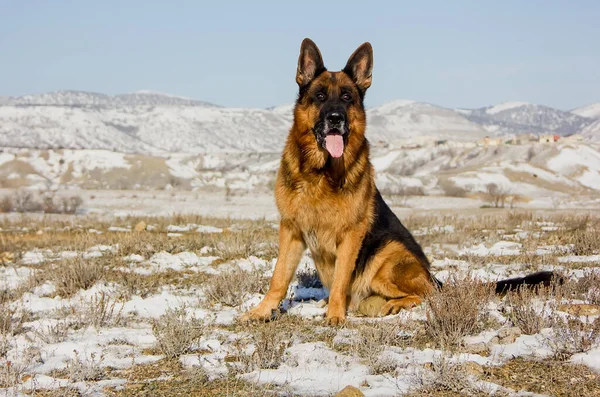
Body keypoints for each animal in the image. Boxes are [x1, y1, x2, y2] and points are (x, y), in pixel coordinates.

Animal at [243, 38, 552, 324]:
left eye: (347, 97)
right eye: (319, 96)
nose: (335, 118)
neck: (322, 172)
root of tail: (434, 277)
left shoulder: (350, 235)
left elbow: (341, 280)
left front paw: (335, 316)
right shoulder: (291, 229)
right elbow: (279, 277)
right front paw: (262, 311)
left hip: (388, 260)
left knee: (427, 294)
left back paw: (389, 304)